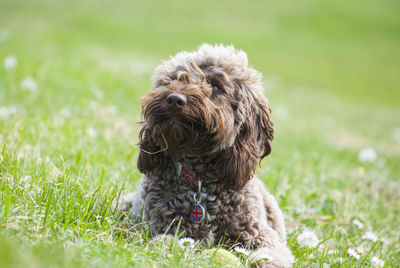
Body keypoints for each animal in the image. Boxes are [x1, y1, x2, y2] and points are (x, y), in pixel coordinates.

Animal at [119, 44, 294, 268]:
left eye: (215, 86)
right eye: (175, 78)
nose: (174, 99)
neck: (200, 181)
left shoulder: (261, 236)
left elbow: (272, 255)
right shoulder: (156, 226)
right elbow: (167, 241)